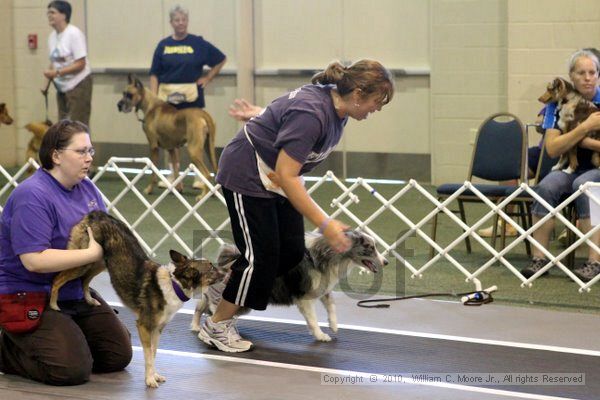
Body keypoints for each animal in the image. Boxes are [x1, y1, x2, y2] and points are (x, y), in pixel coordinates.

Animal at [49, 211, 225, 390]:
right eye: (211, 268)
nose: (226, 272)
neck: (174, 285)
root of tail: (96, 214)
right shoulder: (144, 326)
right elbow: (148, 356)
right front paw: (149, 380)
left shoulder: (158, 328)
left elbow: (154, 353)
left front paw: (155, 375)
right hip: (83, 261)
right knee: (57, 279)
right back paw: (53, 305)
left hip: (98, 261)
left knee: (84, 280)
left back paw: (90, 300)